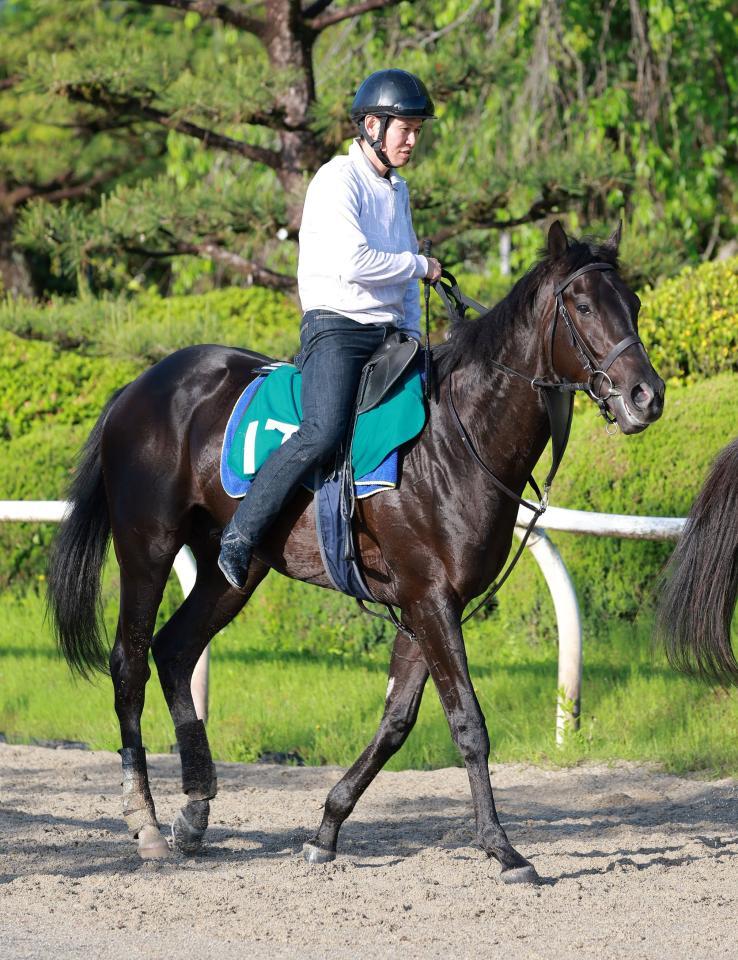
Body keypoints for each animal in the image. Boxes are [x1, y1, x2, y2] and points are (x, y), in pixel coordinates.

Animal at [49, 219, 664, 884]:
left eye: (632, 303)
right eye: (583, 306)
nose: (646, 395)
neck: (455, 439)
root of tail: (140, 386)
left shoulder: (427, 603)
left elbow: (396, 722)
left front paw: (326, 829)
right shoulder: (430, 598)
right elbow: (468, 723)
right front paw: (503, 849)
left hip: (234, 568)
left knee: (176, 649)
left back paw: (194, 810)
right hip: (148, 546)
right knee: (130, 662)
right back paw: (146, 822)